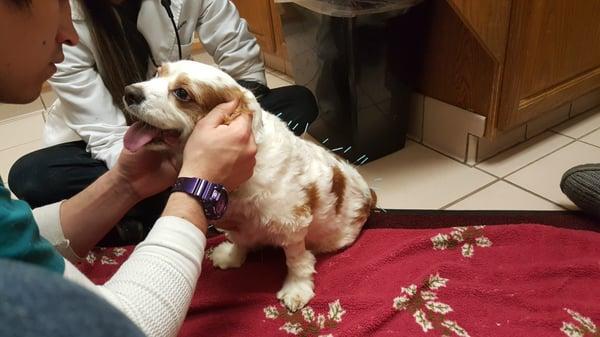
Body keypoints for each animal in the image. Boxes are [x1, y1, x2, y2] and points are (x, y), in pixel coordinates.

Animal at [122, 59, 376, 310]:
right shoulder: (239, 223)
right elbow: (240, 242)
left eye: (182, 93)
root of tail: (370, 195)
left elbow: (296, 260)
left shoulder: (292, 225)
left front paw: (297, 288)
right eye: (156, 74)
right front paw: (231, 257)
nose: (129, 92)